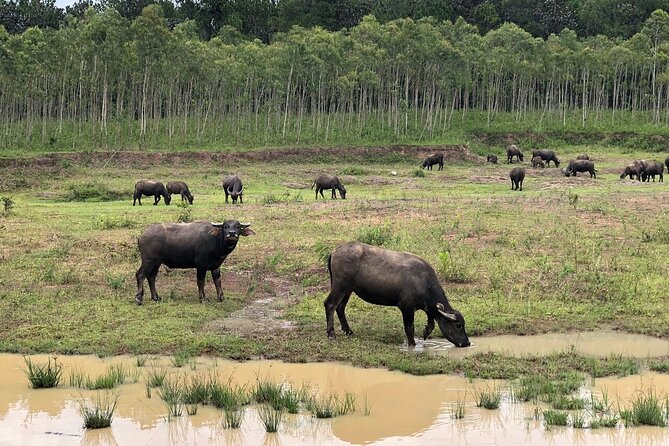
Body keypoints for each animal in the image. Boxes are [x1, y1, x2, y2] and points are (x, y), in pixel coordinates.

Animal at [324, 240, 470, 348]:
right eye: (458, 326)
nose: (467, 343)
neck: (424, 281)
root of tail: (335, 251)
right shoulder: (406, 307)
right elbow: (409, 328)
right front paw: (412, 345)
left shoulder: (427, 307)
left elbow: (432, 322)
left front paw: (425, 332)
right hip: (340, 286)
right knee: (330, 304)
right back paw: (331, 334)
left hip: (348, 289)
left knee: (340, 307)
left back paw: (348, 330)